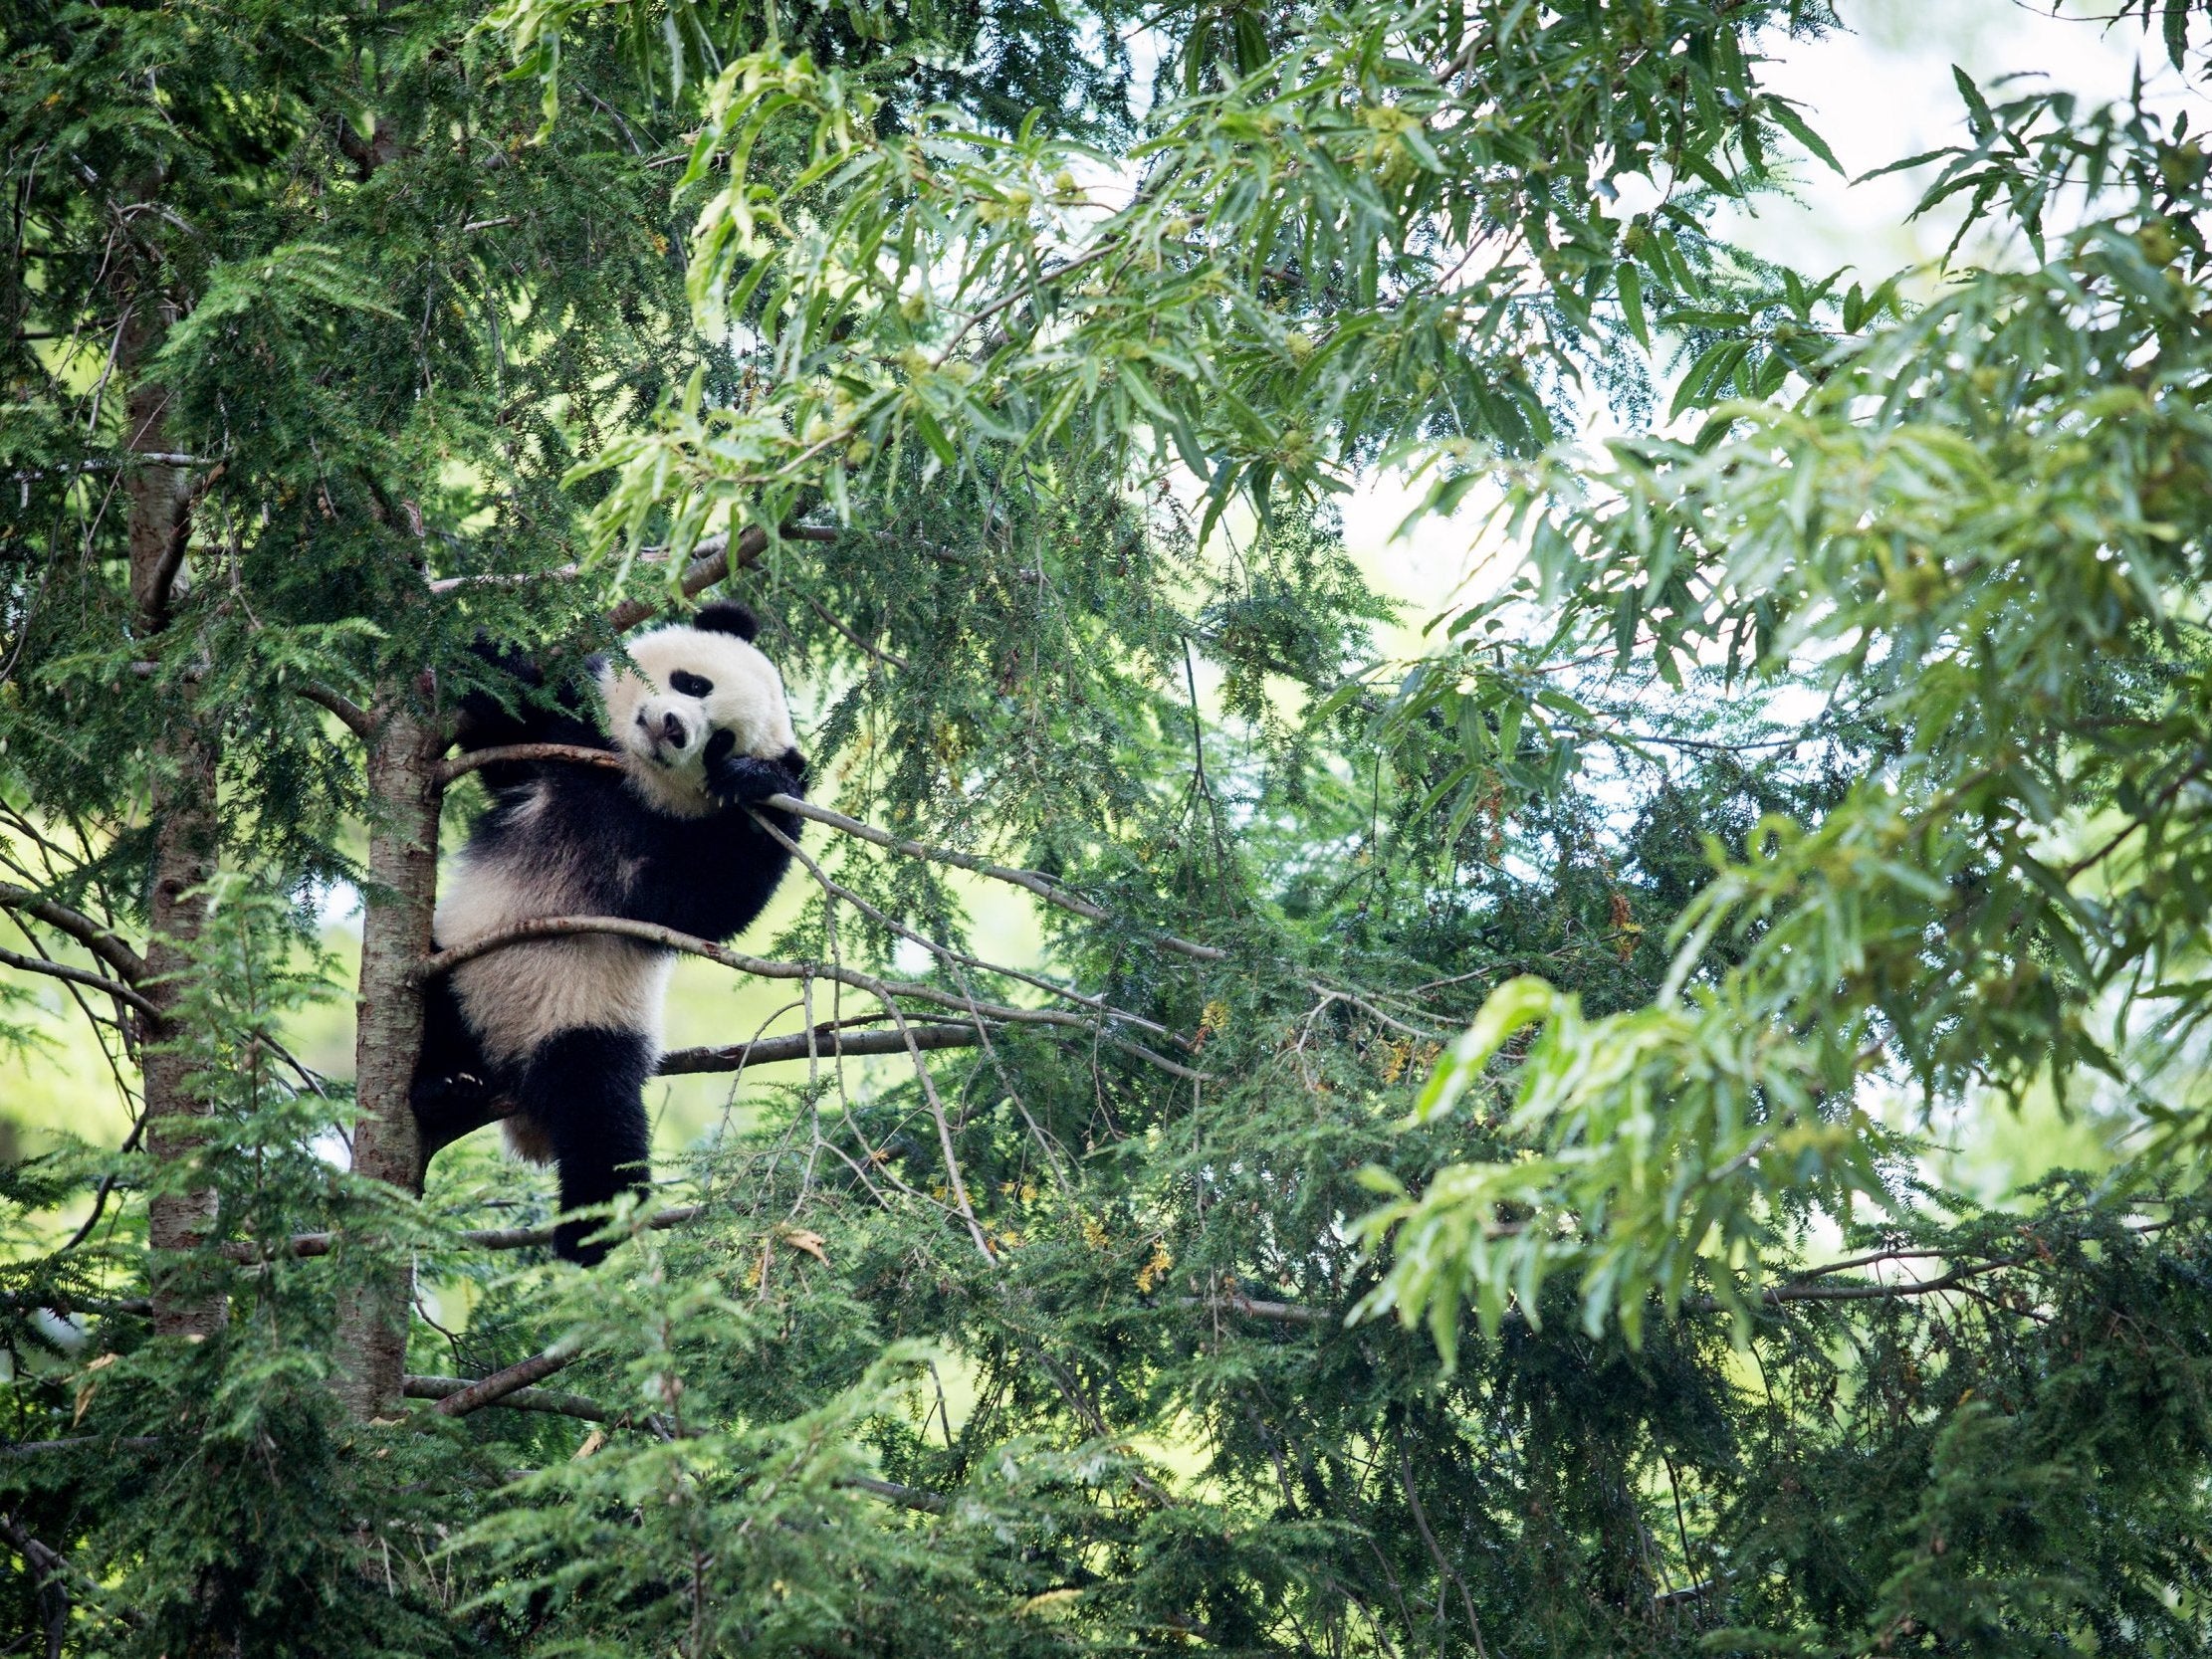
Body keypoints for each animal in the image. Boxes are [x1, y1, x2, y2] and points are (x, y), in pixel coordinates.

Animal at [411, 606, 809, 1265]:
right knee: (430, 1013)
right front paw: (496, 650)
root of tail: (511, 1073)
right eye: (693, 683)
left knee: (600, 1116)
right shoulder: (560, 753)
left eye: (722, 742)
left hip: (590, 1020)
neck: (629, 785)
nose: (673, 728)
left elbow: (710, 908)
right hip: (455, 967)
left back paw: (589, 1231)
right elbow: (503, 732)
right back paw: (444, 1087)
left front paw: (760, 781)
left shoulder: (670, 843)